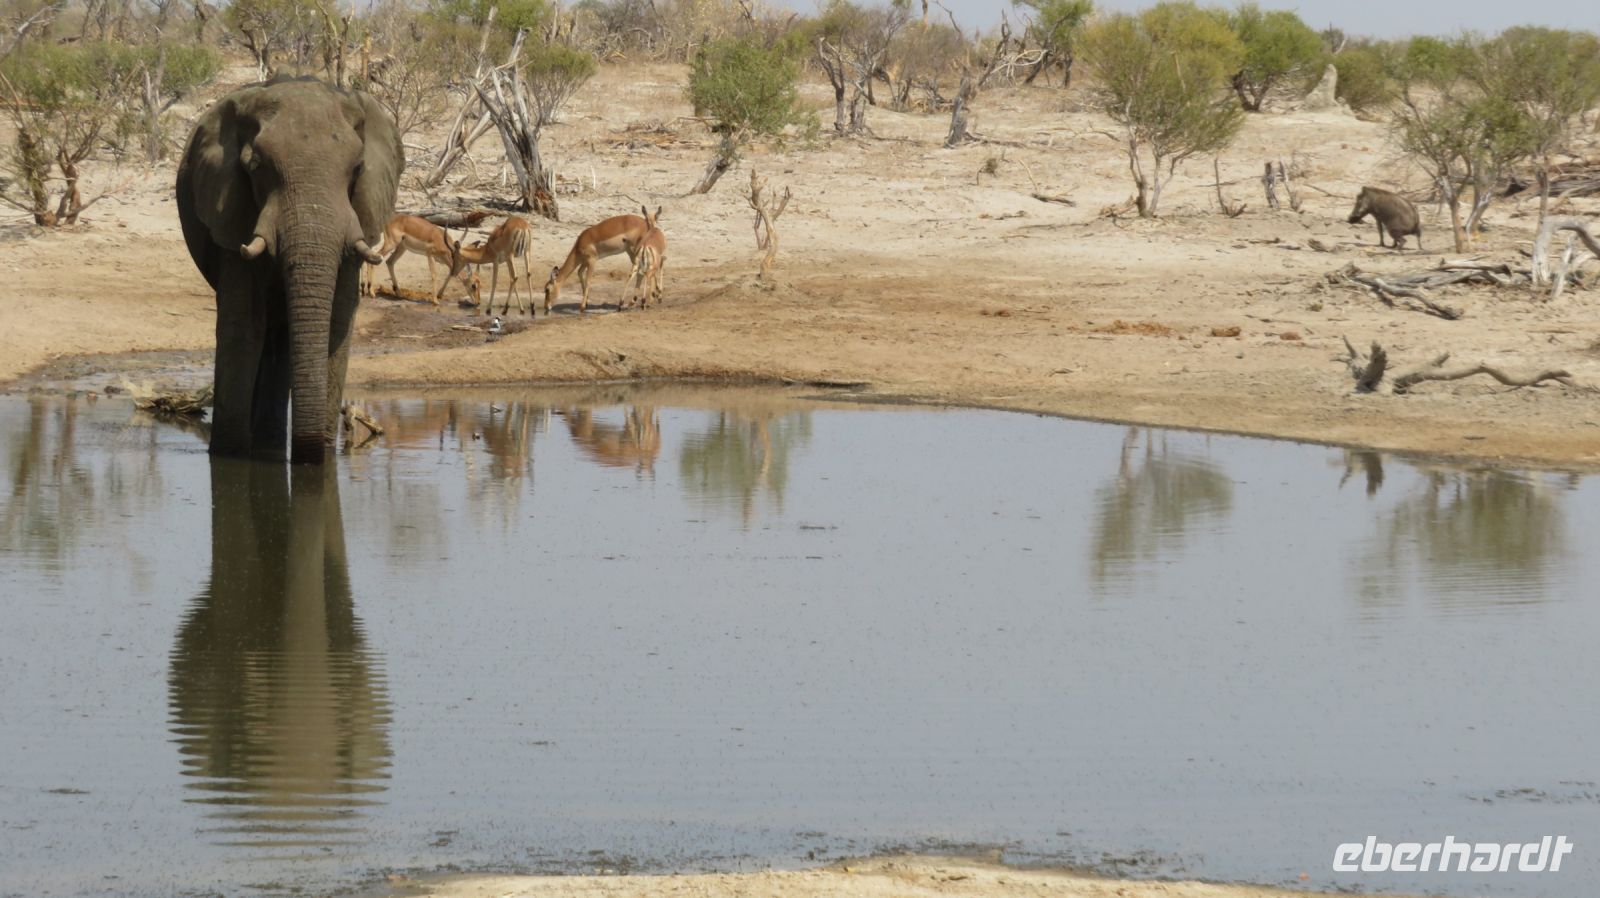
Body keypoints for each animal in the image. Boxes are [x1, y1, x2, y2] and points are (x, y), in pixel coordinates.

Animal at [176, 76, 402, 463]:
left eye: (358, 170)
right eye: (255, 166)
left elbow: (337, 321)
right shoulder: (231, 210)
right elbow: (244, 324)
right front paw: (229, 454)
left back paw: (270, 444)